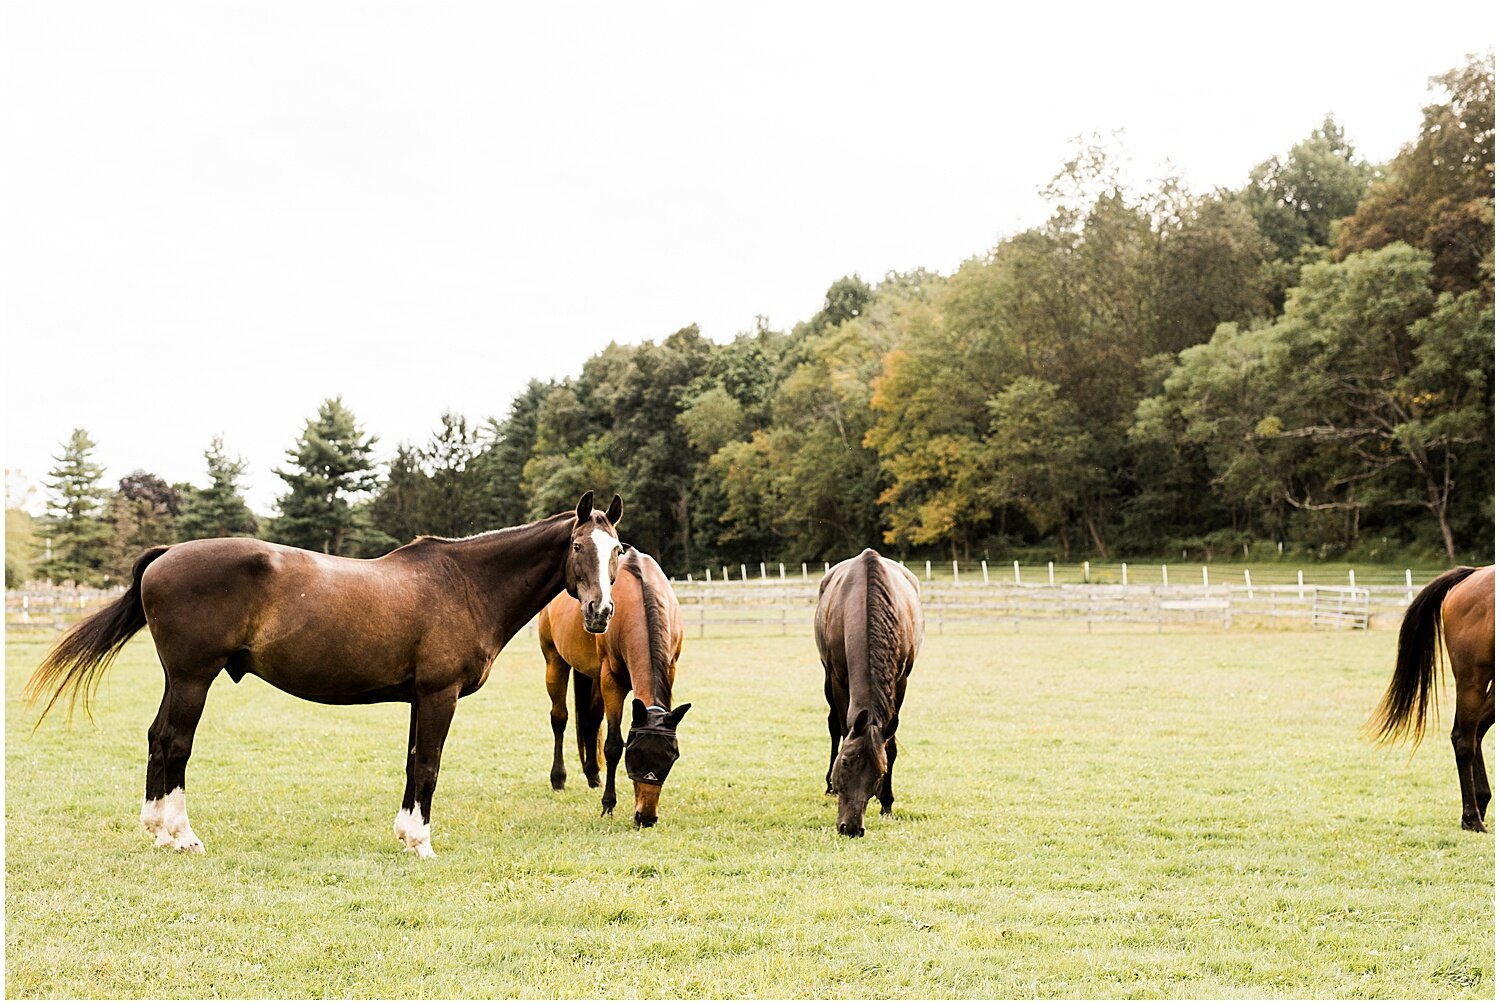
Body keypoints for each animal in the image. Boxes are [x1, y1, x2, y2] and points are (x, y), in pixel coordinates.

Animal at [24, 492, 621, 864]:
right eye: (577, 547)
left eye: (617, 550)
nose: (600, 613)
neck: (465, 583)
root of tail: (167, 553)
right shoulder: (439, 696)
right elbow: (429, 766)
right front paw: (422, 844)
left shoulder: (418, 699)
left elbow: (412, 764)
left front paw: (405, 836)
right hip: (194, 678)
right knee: (174, 743)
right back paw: (183, 835)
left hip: (179, 679)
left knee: (156, 739)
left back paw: (160, 833)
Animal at [540, 546, 690, 828]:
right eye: (634, 754)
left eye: (671, 757)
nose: (646, 817)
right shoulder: (611, 680)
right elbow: (612, 745)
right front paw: (608, 804)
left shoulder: (671, 669)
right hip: (555, 661)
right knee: (559, 719)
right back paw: (558, 778)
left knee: (590, 719)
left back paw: (592, 775)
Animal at [816, 546, 918, 840]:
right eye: (845, 763)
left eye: (879, 774)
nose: (851, 828)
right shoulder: (837, 678)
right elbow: (841, 728)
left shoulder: (901, 680)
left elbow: (890, 743)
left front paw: (887, 803)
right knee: (833, 727)